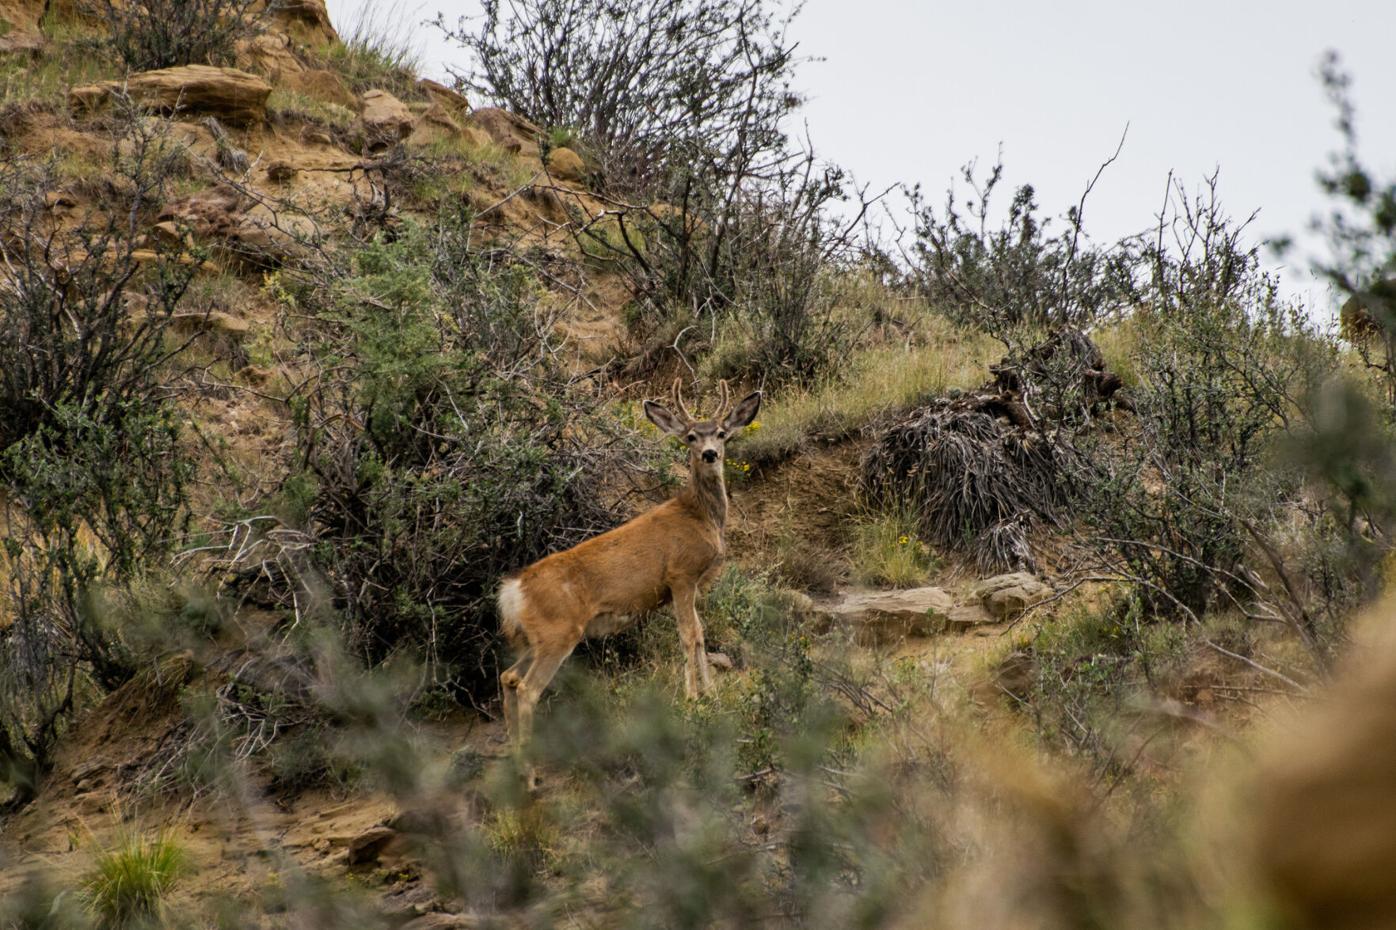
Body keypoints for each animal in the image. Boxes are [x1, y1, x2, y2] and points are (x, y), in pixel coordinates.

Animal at [497, 378, 761, 755]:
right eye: (691, 436)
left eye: (722, 433)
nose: (710, 453)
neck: (701, 516)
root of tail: (513, 591)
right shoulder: (680, 574)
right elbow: (688, 634)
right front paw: (692, 698)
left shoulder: (690, 584)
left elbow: (700, 632)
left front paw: (710, 693)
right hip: (558, 633)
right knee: (527, 688)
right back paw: (528, 760)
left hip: (534, 637)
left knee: (508, 676)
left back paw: (514, 749)